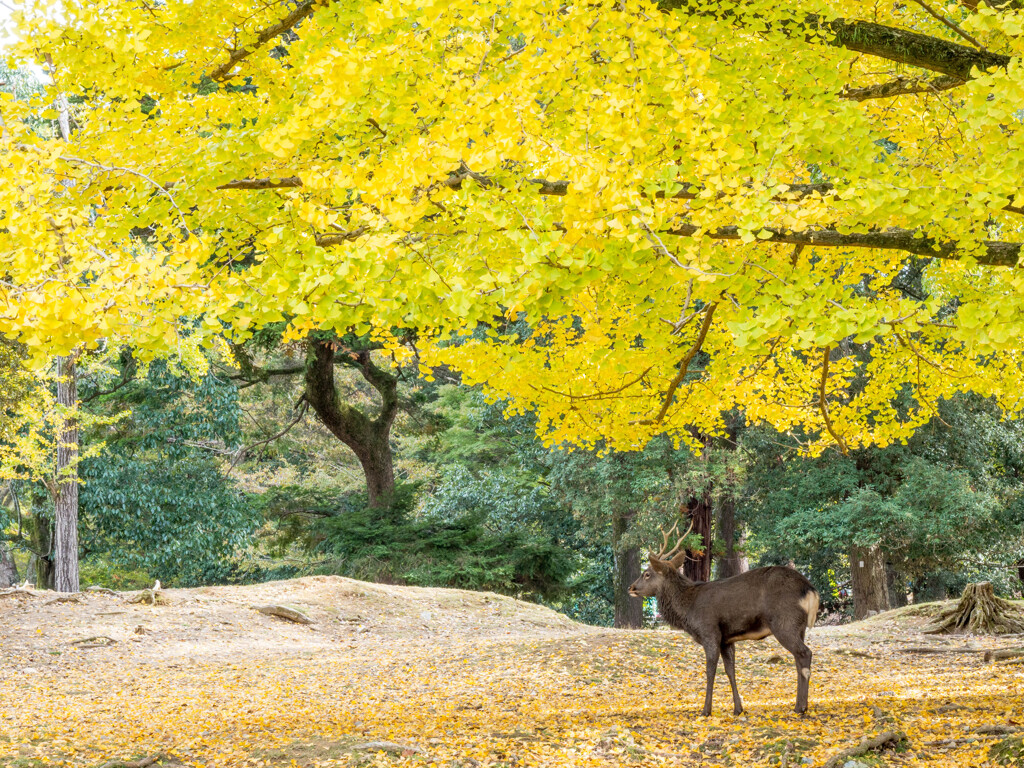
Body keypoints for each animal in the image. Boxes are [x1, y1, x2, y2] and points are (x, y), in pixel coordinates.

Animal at [626, 520, 819, 720]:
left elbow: (710, 671)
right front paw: (738, 709)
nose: (630, 587)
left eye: (647, 574)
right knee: (798, 659)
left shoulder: (709, 632)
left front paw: (706, 710)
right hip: (799, 627)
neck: (687, 609)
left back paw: (801, 707)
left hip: (784, 623)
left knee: (805, 653)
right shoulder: (727, 639)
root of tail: (810, 589)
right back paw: (799, 705)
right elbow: (730, 671)